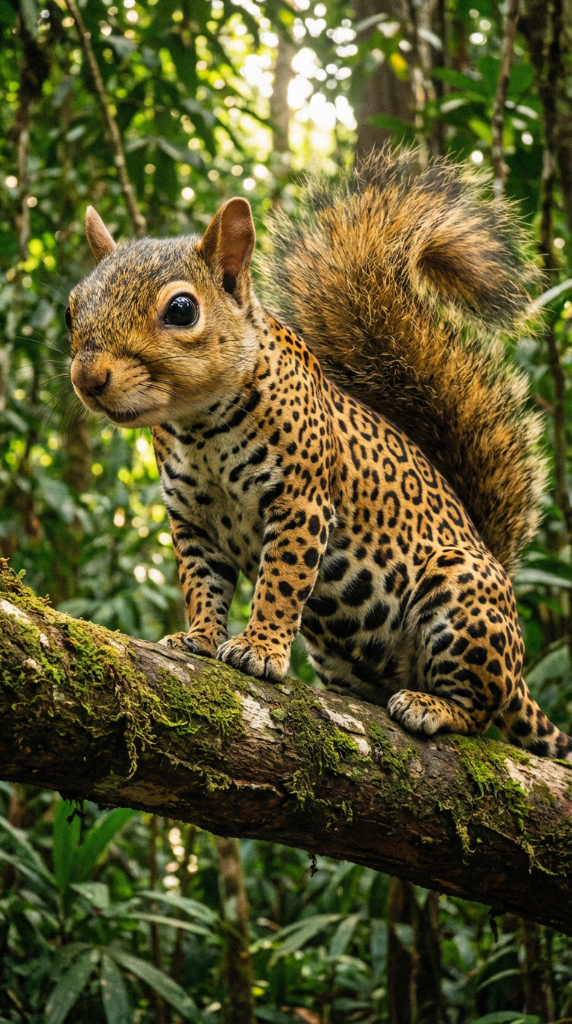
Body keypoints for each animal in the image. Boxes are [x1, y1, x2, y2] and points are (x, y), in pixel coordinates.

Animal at [66, 149, 572, 760]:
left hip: (459, 598)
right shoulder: (193, 522)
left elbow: (281, 583)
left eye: (182, 310)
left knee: (479, 709)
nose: (89, 379)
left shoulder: (300, 502)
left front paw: (259, 647)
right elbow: (201, 585)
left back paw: (431, 706)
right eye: (71, 310)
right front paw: (199, 637)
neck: (198, 428)